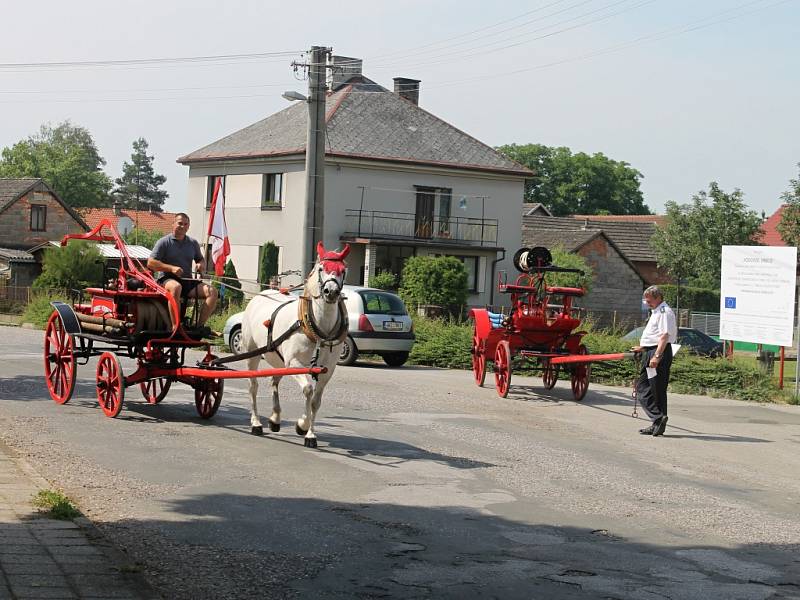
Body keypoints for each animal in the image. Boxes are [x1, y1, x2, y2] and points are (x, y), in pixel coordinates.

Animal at [239, 243, 348, 446]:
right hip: (252, 353)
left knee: (274, 381)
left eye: (343, 270)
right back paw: (256, 423)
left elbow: (316, 401)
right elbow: (308, 390)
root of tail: (262, 294)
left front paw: (310, 434)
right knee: (253, 386)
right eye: (321, 269)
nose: (331, 292)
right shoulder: (295, 364)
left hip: (280, 361)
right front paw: (302, 425)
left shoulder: (327, 369)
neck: (317, 329)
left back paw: (275, 418)